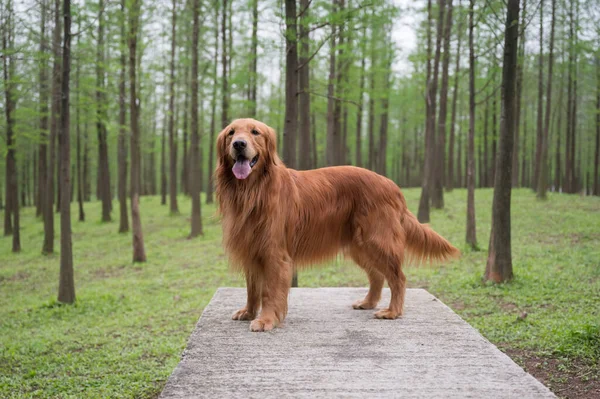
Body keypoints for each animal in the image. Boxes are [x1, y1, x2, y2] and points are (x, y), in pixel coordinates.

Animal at [216, 119, 460, 334]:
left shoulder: (274, 254)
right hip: (360, 246)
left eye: (255, 132)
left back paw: (392, 311)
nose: (239, 144)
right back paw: (368, 302)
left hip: (377, 240)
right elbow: (252, 289)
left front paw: (266, 320)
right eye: (231, 132)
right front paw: (248, 312)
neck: (253, 191)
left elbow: (268, 291)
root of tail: (392, 185)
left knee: (398, 277)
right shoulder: (251, 250)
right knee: (377, 275)